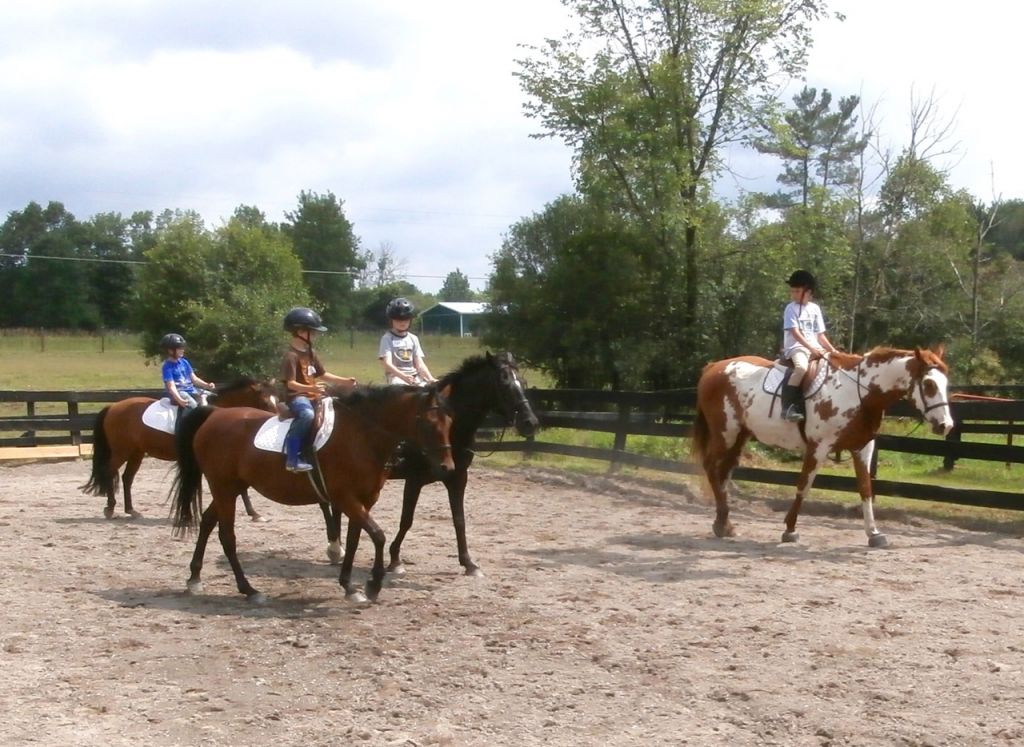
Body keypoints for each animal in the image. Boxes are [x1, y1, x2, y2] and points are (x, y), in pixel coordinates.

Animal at [80, 379, 280, 518]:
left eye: (276, 400)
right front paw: (253, 512)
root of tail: (113, 406)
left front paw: (253, 512)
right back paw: (110, 508)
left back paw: (131, 510)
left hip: (136, 452)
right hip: (121, 451)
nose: (278, 420)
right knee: (109, 471)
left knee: (127, 478)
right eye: (265, 402)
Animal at [169, 385, 454, 598]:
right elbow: (378, 535)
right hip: (224, 488)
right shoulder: (345, 498)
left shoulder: (365, 500)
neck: (360, 435)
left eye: (449, 421)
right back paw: (249, 590)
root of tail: (215, 414)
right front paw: (373, 584)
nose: (447, 467)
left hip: (231, 488)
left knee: (207, 522)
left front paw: (349, 586)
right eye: (429, 423)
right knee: (227, 537)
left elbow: (354, 540)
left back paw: (194, 578)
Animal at [321, 352, 544, 573]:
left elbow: (459, 519)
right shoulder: (415, 479)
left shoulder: (458, 477)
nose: (530, 422)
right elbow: (406, 520)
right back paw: (335, 548)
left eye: (522, 382)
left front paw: (468, 562)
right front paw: (395, 560)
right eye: (504, 383)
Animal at [692, 344, 954, 549]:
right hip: (725, 433)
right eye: (929, 384)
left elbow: (866, 490)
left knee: (724, 473)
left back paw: (724, 524)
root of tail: (714, 367)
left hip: (739, 436)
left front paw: (874, 533)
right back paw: (723, 523)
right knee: (712, 468)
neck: (859, 393)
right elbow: (804, 486)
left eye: (945, 384)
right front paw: (790, 530)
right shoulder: (818, 447)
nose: (946, 425)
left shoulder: (862, 448)